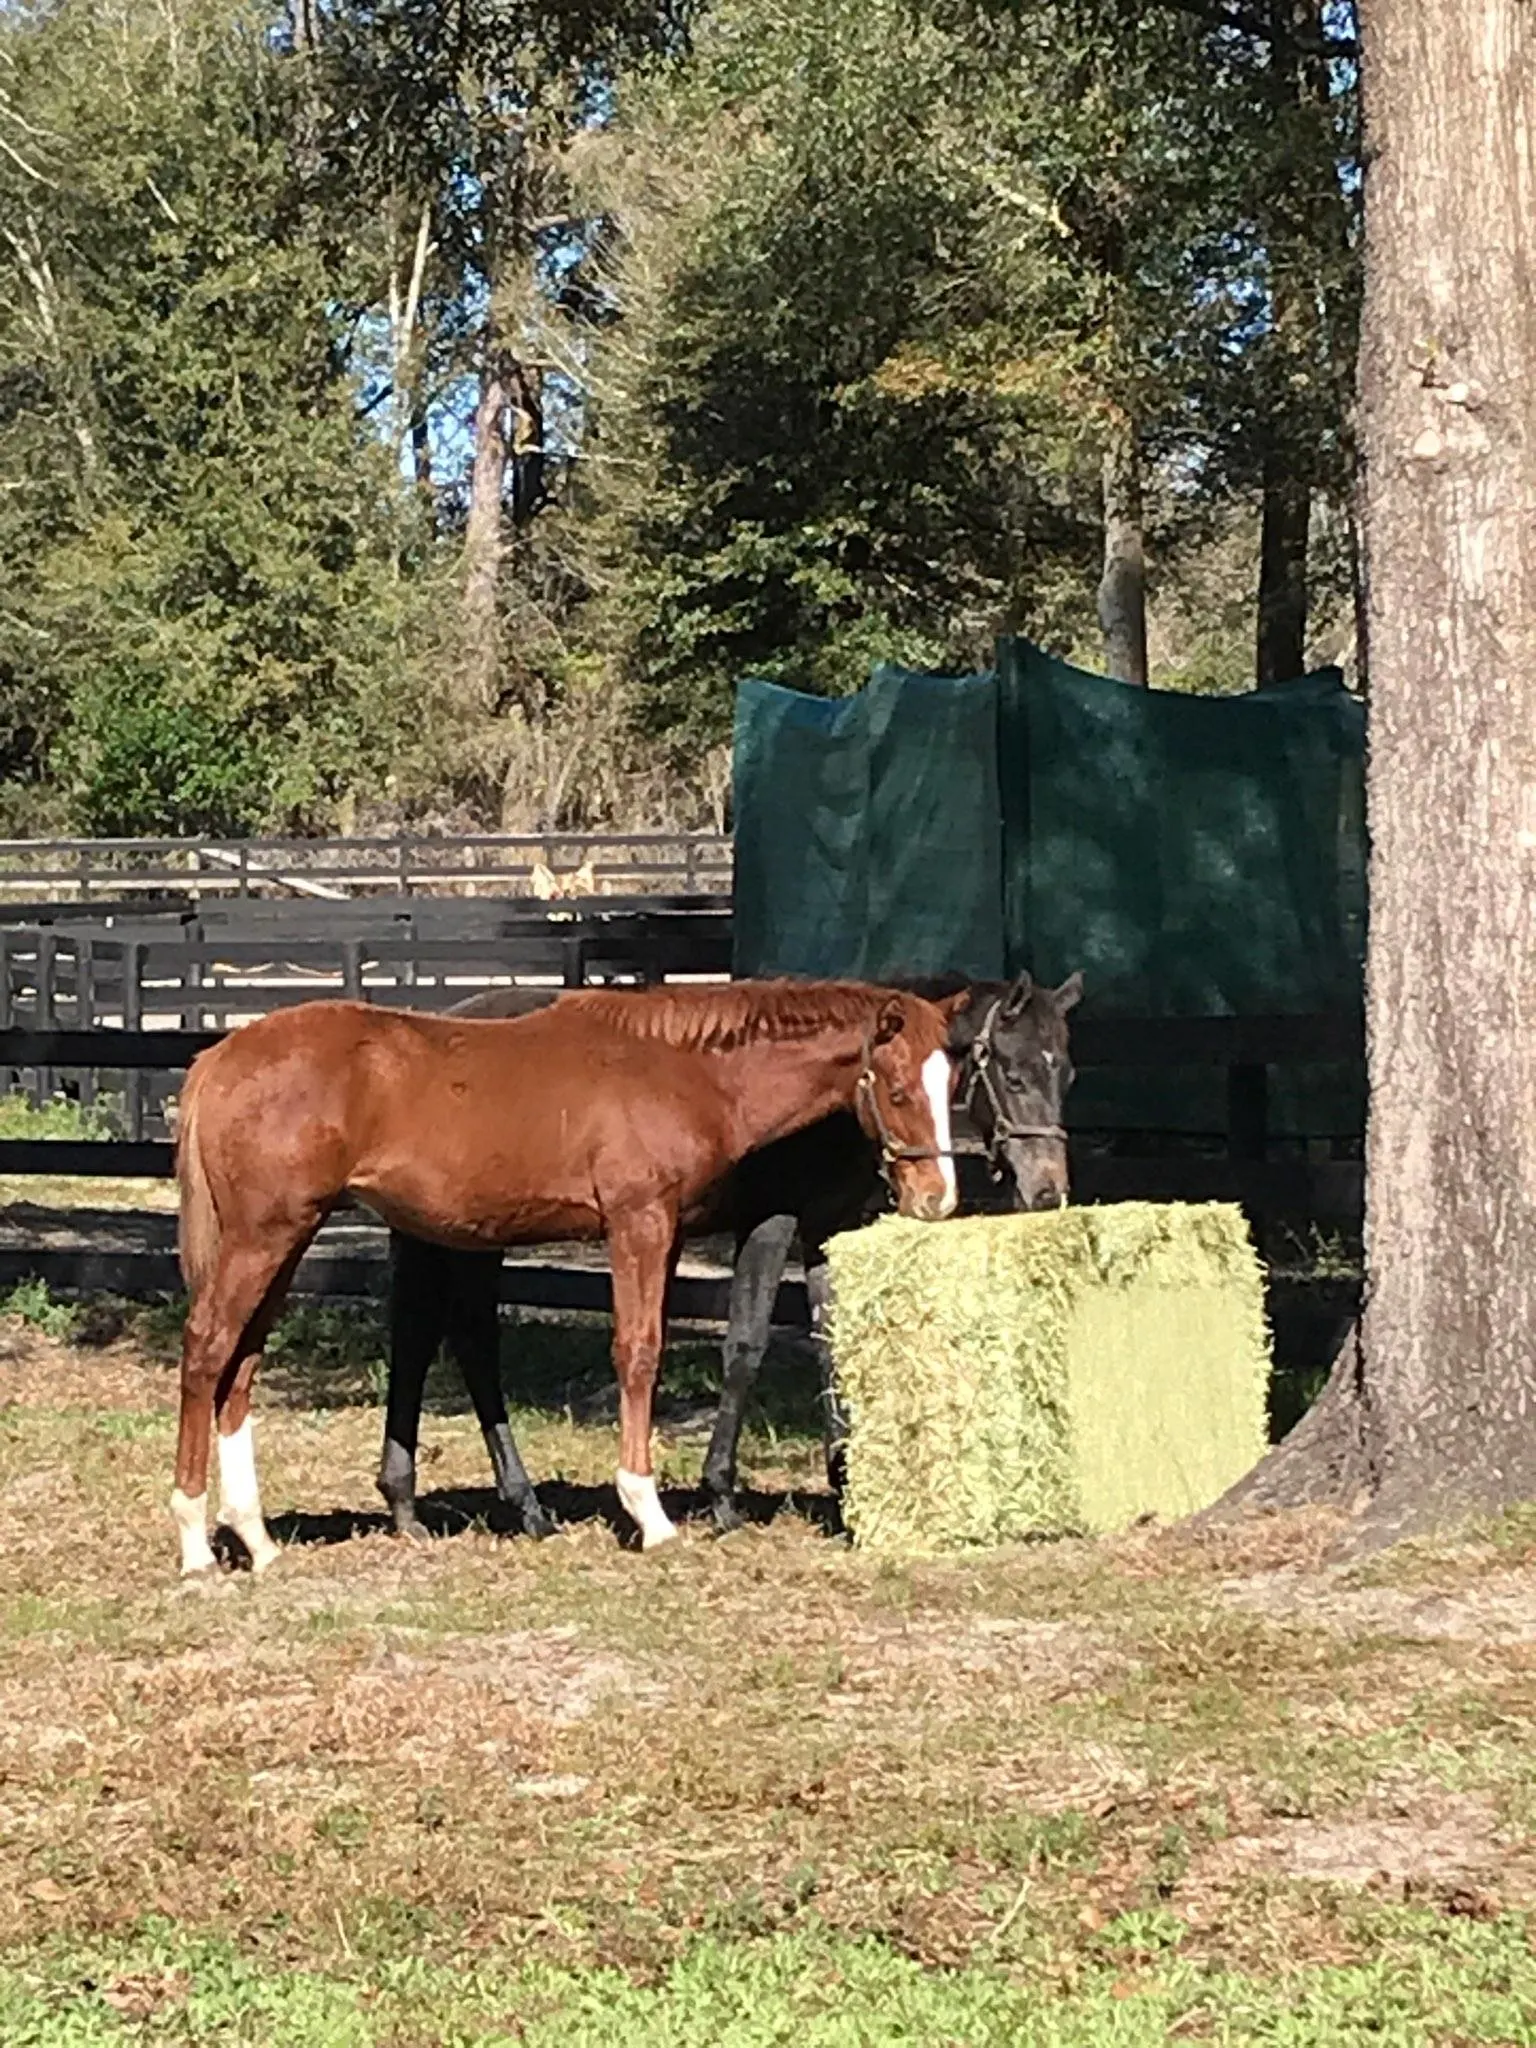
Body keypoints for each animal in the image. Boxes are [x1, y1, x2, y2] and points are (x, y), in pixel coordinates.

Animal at [170, 979, 963, 1576]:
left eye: (953, 1082)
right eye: (896, 1089)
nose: (937, 1198)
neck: (681, 1067)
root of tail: (219, 1057)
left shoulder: (671, 1229)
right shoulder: (639, 1221)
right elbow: (638, 1353)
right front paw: (651, 1513)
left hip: (288, 1238)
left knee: (243, 1364)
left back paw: (258, 1539)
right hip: (263, 1236)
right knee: (208, 1349)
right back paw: (195, 1541)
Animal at [376, 971, 1082, 1541]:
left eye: (1067, 1074)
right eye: (1012, 1074)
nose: (1048, 1190)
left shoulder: (825, 1226)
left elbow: (829, 1339)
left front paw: (843, 1480)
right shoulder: (768, 1221)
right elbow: (745, 1344)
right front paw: (721, 1496)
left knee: (420, 1338)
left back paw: (423, 1500)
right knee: (470, 1341)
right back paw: (518, 1503)